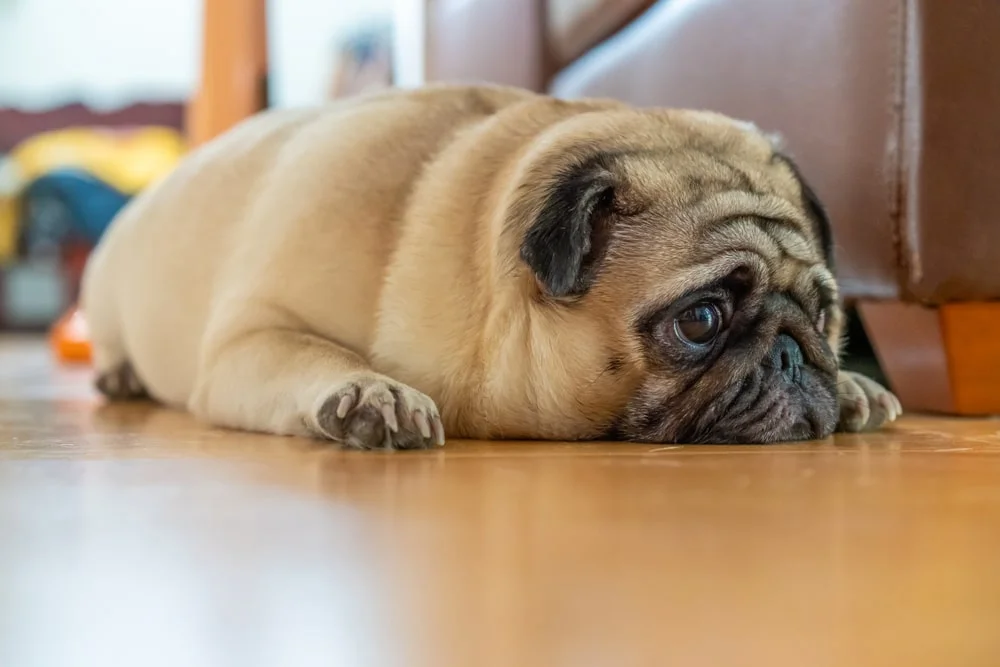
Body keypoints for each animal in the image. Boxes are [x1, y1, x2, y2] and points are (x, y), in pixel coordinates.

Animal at [84, 83, 900, 448]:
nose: (793, 354)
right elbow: (312, 353)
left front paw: (854, 384)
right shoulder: (251, 338)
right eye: (701, 320)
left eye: (825, 313)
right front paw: (371, 390)